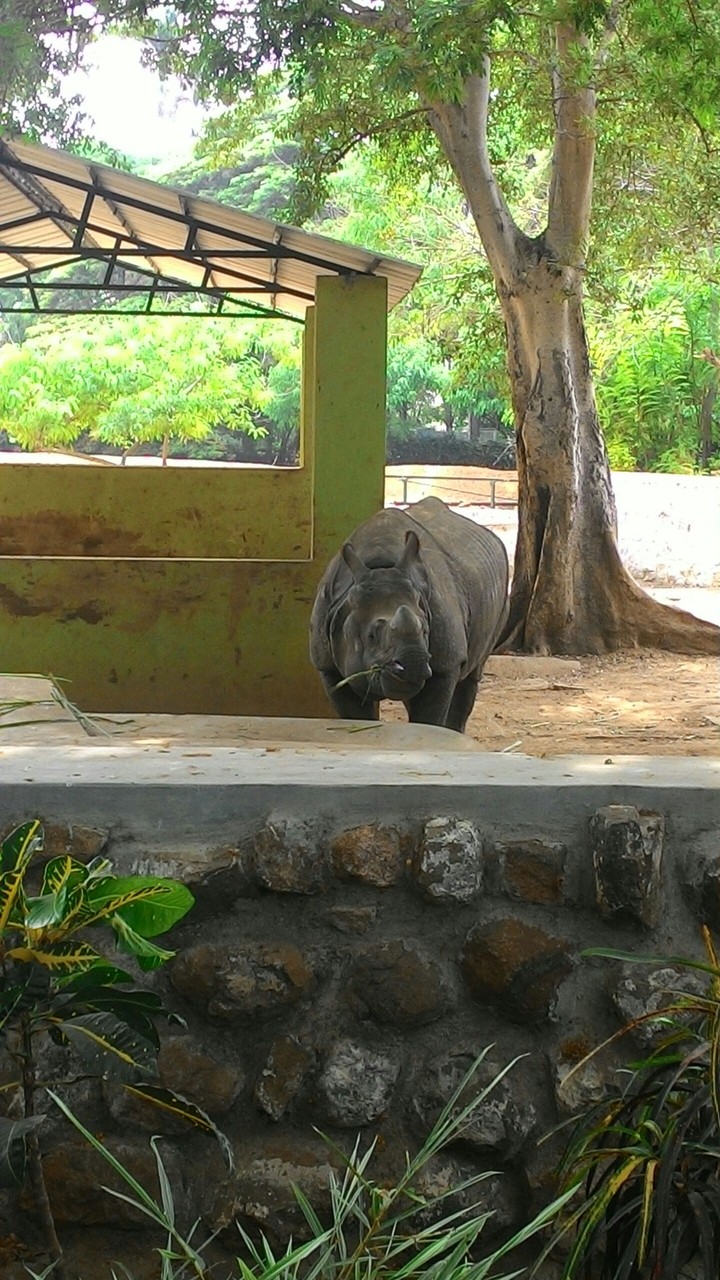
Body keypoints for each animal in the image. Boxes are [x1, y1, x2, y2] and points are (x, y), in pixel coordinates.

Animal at [309, 496, 509, 732]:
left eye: (426, 631)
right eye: (371, 636)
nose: (412, 665)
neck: (380, 567)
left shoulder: (445, 664)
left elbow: (429, 716)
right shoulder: (327, 665)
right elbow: (355, 714)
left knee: (472, 675)